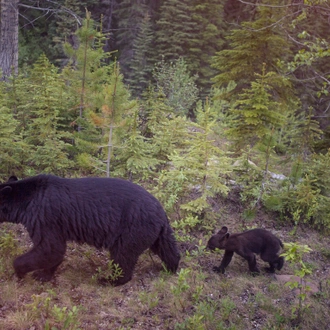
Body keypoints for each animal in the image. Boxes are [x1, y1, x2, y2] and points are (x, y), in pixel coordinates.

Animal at [0, 175, 180, 286]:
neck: (26, 201)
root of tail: (161, 211)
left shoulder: (44, 216)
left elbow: (49, 248)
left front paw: (21, 271)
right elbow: (54, 251)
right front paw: (44, 274)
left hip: (132, 228)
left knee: (123, 255)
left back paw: (109, 280)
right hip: (156, 231)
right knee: (167, 248)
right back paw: (170, 267)